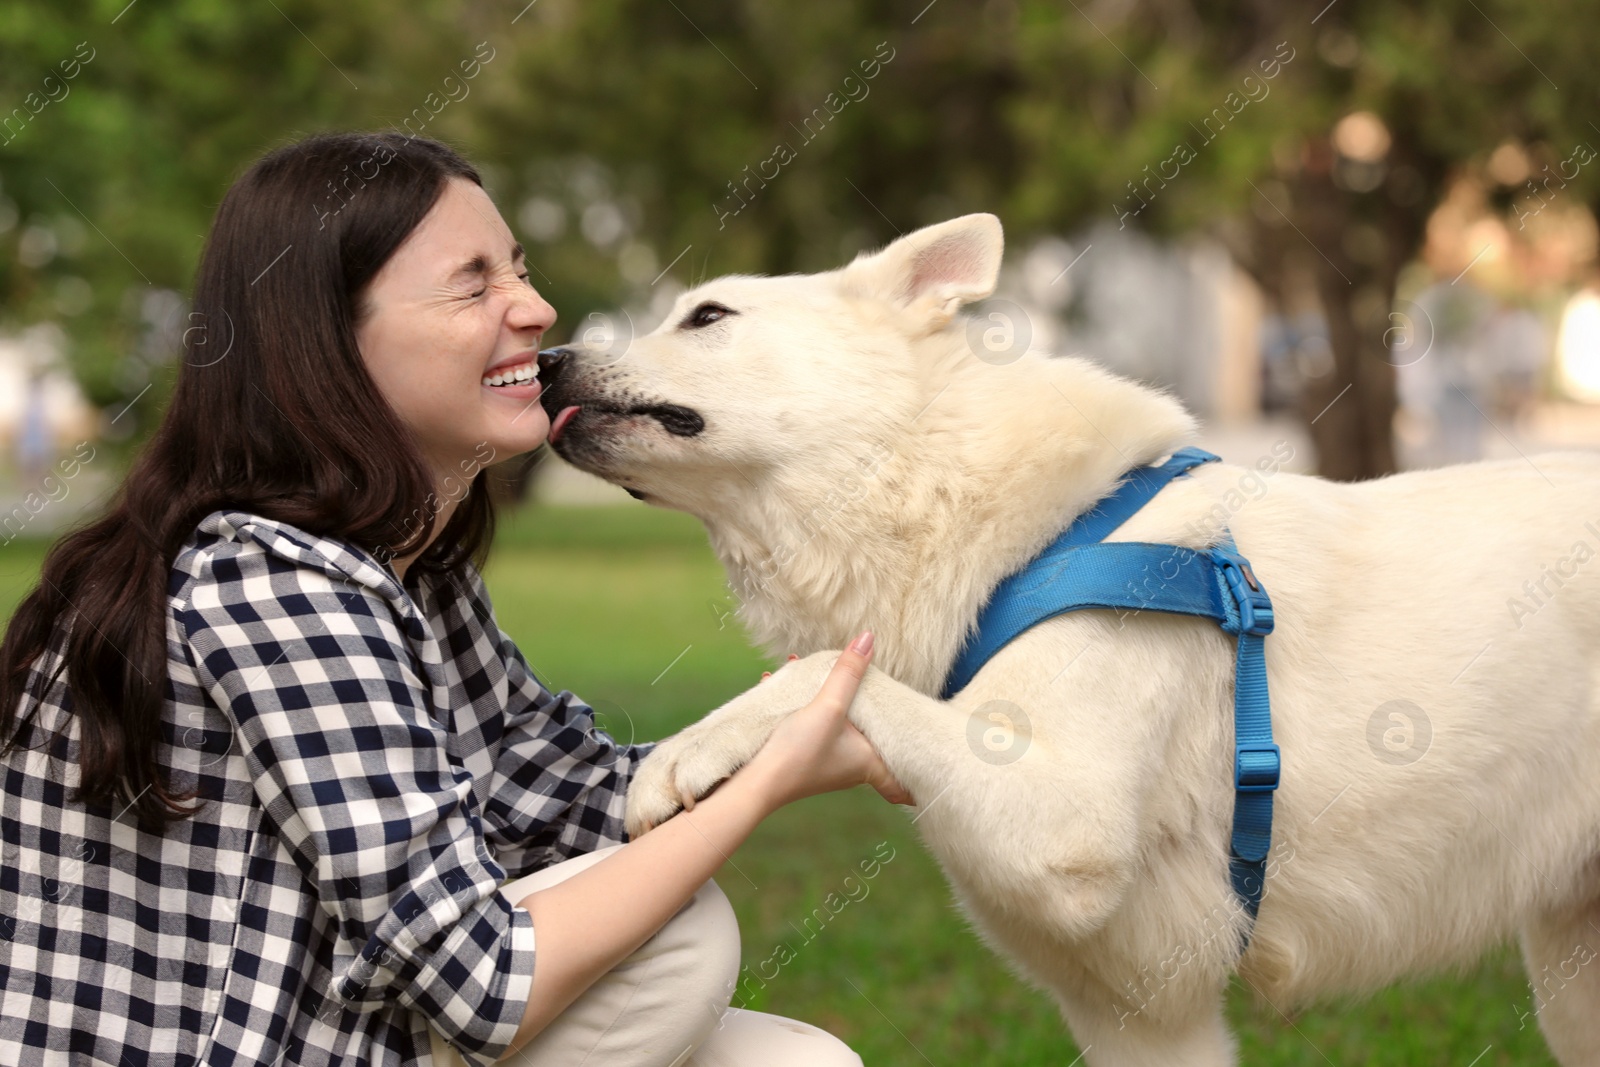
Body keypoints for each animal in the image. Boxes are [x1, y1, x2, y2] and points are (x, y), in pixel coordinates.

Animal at [534, 212, 1600, 1062]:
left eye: (707, 317)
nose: (545, 360)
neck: (1026, 531)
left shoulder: (1059, 826)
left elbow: (822, 674)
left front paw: (683, 754)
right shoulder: (1141, 1013)